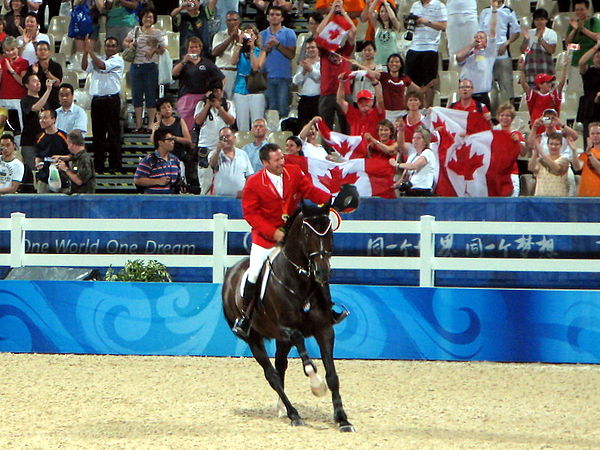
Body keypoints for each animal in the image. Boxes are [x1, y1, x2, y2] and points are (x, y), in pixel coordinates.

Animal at [221, 202, 354, 430]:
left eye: (330, 233)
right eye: (307, 234)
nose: (322, 273)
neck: (299, 283)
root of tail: (231, 272)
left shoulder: (324, 330)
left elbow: (332, 375)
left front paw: (342, 419)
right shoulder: (287, 329)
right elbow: (307, 360)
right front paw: (316, 386)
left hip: (280, 341)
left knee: (280, 367)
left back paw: (283, 409)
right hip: (253, 338)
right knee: (272, 375)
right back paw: (294, 414)